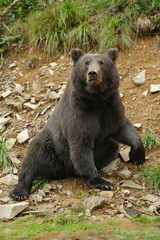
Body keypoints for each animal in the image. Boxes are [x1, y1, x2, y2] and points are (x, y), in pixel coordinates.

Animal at [10, 48, 145, 201]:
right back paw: (19, 191)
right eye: (86, 63)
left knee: (112, 147)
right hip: (52, 145)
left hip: (106, 147)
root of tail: (63, 170)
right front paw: (103, 182)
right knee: (33, 156)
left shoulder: (111, 107)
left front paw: (138, 156)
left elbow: (123, 128)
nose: (93, 73)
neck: (96, 100)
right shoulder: (79, 113)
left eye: (102, 62)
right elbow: (81, 146)